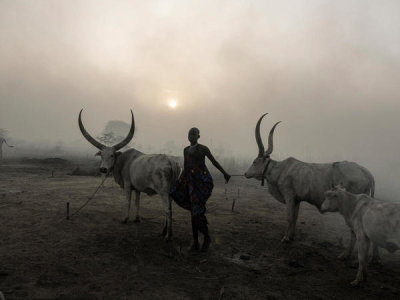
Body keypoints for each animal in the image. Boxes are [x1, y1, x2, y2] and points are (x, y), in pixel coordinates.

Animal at [77, 109, 180, 240]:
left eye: (112, 155)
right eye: (102, 155)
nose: (103, 169)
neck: (124, 161)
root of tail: (171, 162)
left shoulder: (127, 185)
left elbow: (128, 201)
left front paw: (125, 219)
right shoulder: (137, 188)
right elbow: (137, 202)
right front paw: (137, 218)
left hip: (163, 192)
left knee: (167, 210)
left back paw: (167, 236)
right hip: (171, 192)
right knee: (170, 209)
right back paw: (163, 231)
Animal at [244, 113, 376, 252]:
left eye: (254, 161)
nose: (246, 174)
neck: (281, 169)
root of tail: (366, 172)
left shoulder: (289, 196)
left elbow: (289, 217)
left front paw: (285, 238)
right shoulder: (297, 200)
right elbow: (295, 217)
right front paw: (291, 237)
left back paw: (347, 253)